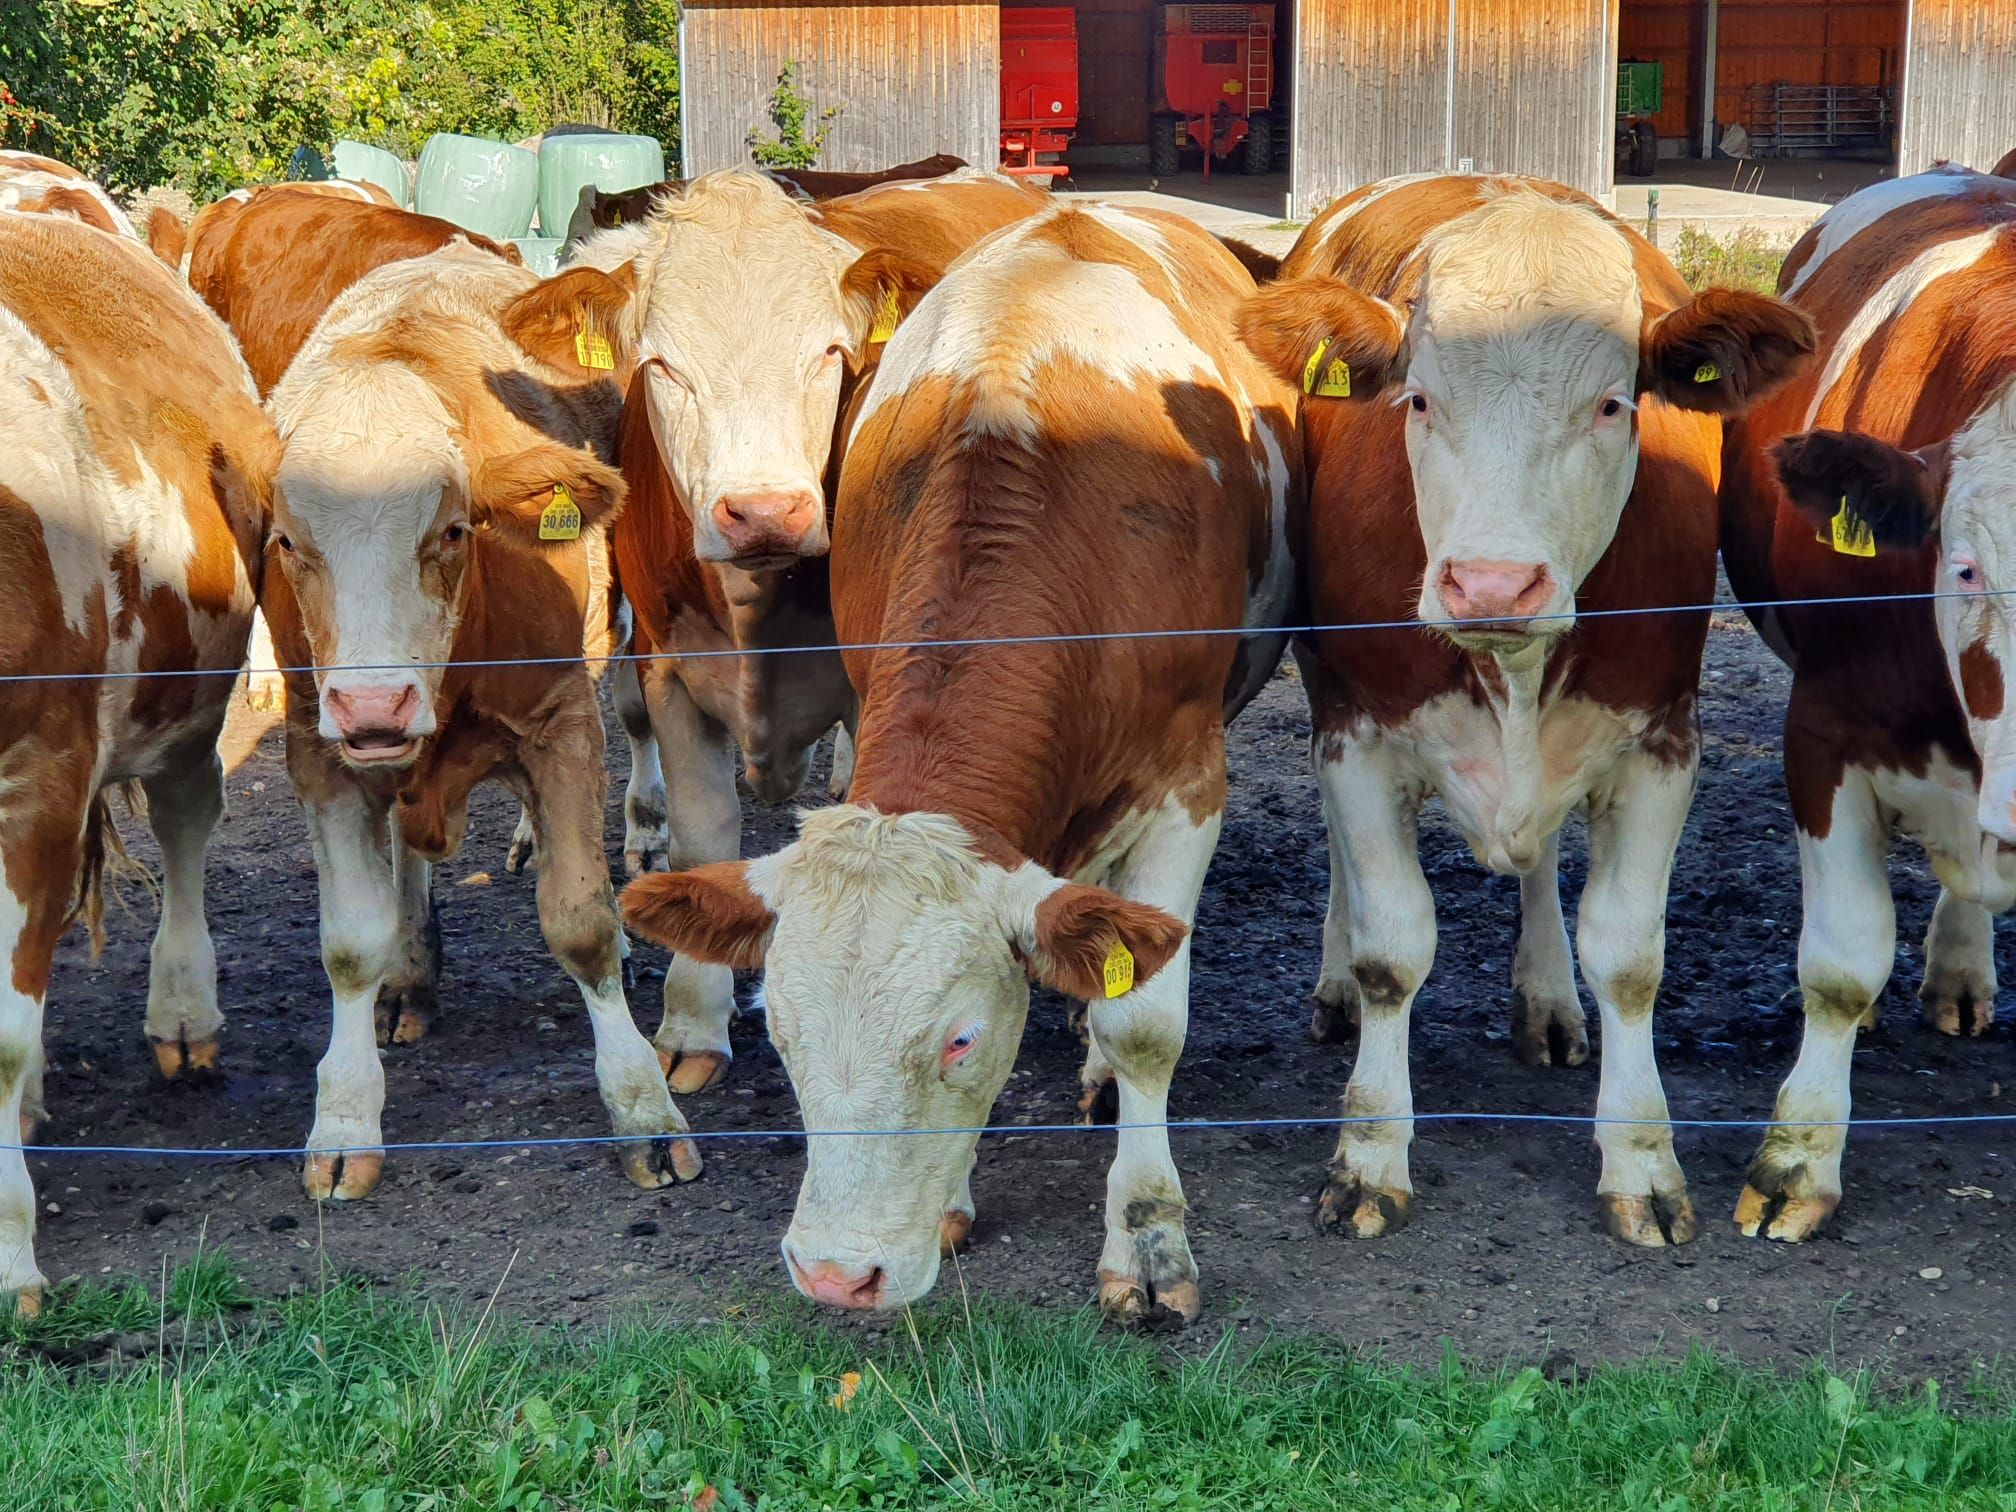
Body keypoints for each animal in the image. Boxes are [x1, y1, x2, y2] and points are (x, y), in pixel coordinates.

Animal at [261, 239, 702, 1200]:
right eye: (288, 543)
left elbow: (581, 923)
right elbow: (349, 944)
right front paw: (344, 1117)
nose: (376, 701)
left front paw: (644, 1109)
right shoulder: (319, 745)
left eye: (454, 531)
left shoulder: (559, 723)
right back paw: (412, 971)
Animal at [500, 168, 1048, 1096]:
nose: (763, 511)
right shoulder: (671, 671)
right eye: (662, 365)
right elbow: (702, 836)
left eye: (829, 353)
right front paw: (693, 1018)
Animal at [619, 201, 1299, 1323]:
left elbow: (1148, 1020)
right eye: (783, 1036)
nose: (837, 1275)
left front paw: (1149, 1235)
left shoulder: (1186, 786)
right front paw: (954, 1197)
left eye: (960, 1038)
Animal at [1234, 175, 1813, 1247]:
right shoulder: (1359, 733)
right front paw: (1370, 1153)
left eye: (1612, 404)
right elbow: (1391, 948)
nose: (1493, 586)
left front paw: (1643, 1160)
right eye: (1419, 399)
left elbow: (1628, 957)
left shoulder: (1663, 742)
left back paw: (1545, 998)